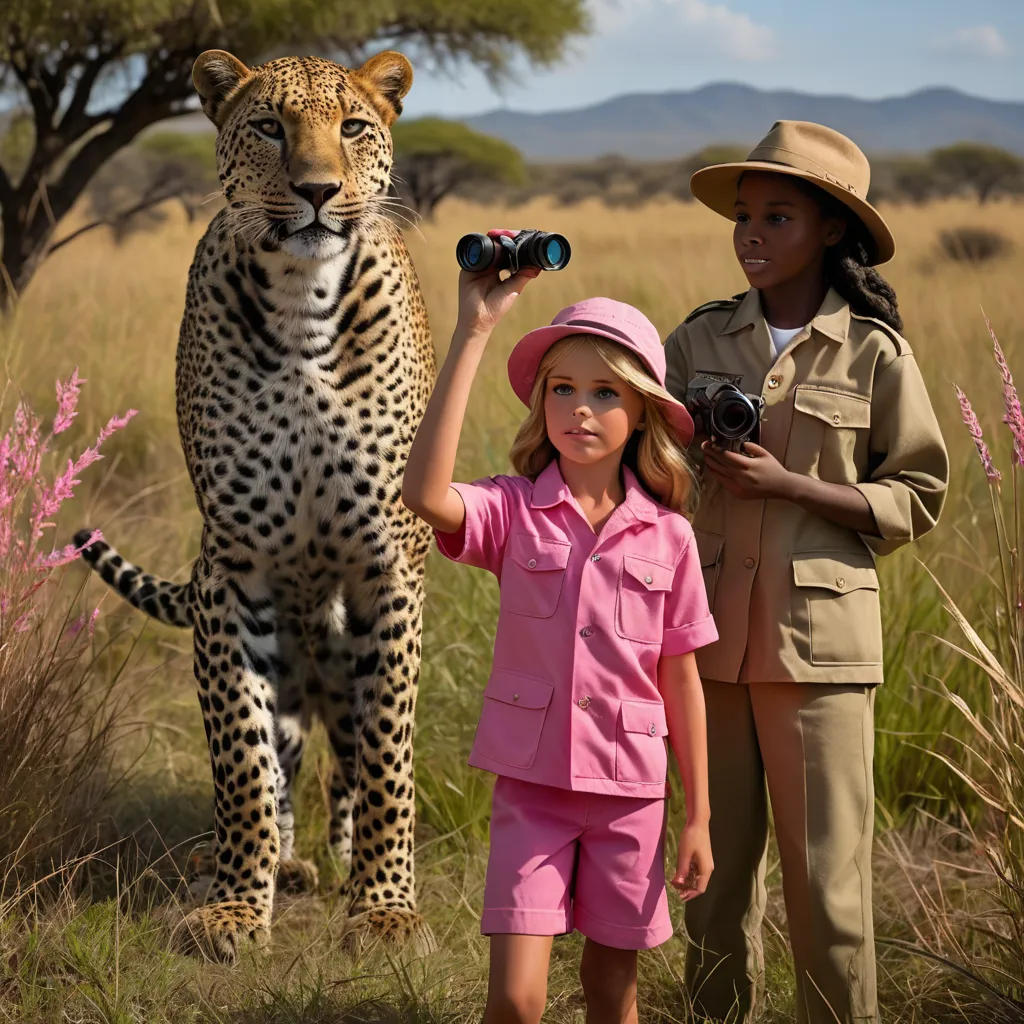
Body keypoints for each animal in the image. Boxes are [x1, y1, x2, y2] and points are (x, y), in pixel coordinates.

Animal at [75, 47, 437, 963]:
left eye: (353, 126)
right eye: (270, 126)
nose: (316, 189)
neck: (304, 301)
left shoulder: (388, 569)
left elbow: (388, 756)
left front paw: (385, 909)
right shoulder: (230, 573)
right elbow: (241, 757)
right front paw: (238, 906)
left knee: (347, 766)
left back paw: (338, 863)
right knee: (278, 764)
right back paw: (278, 866)